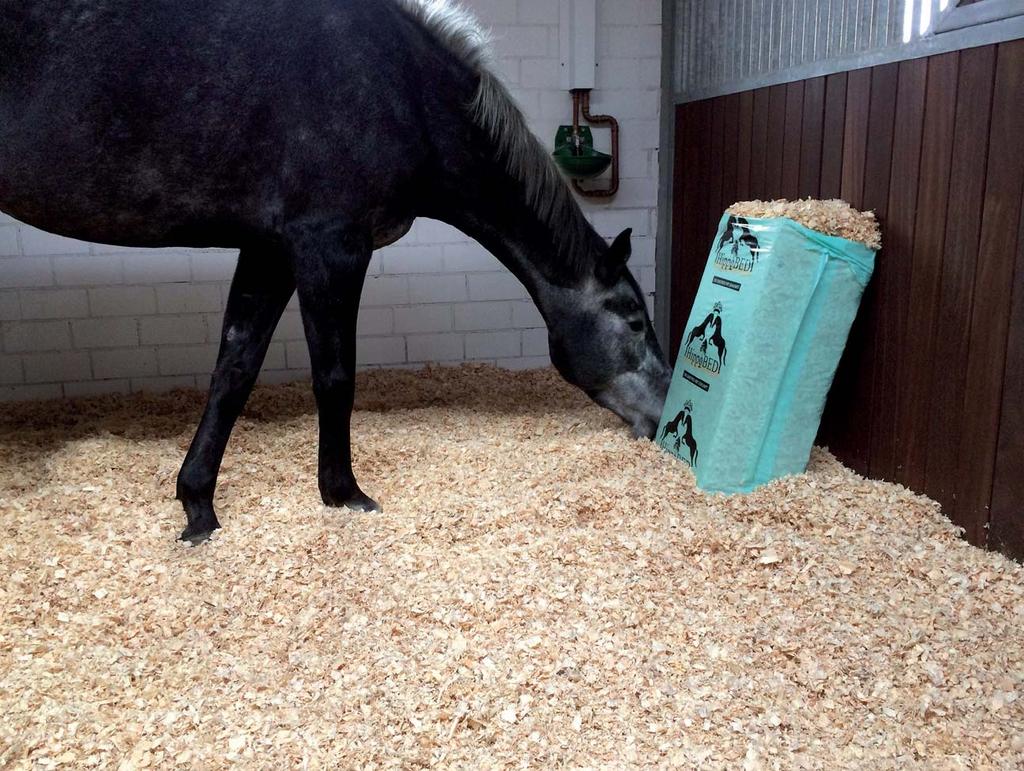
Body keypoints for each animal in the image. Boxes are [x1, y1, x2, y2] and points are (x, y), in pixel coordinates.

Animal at [0, 0, 671, 540]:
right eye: (635, 322)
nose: (666, 417)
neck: (403, 88)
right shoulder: (331, 247)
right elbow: (335, 377)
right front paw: (344, 493)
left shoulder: (269, 249)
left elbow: (234, 370)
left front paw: (198, 508)